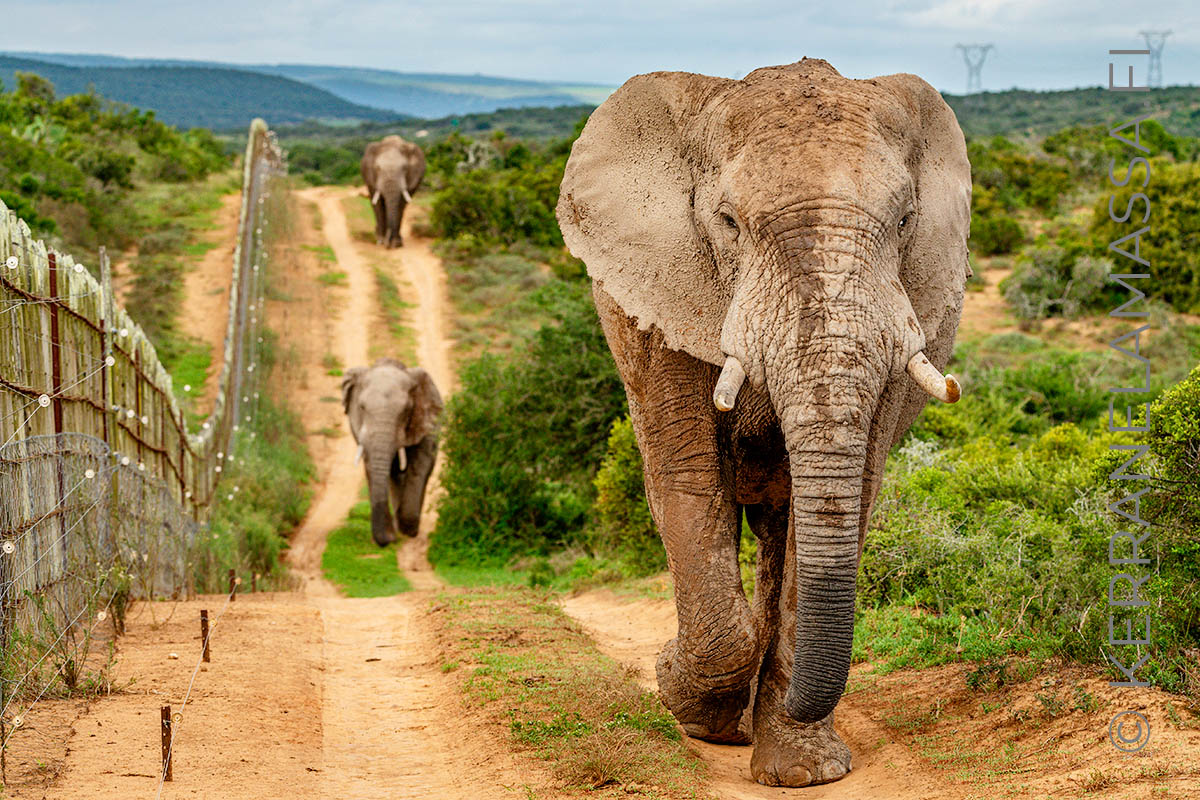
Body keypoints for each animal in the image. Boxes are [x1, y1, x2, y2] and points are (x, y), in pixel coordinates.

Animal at [342, 359, 443, 546]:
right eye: (361, 407)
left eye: (406, 410)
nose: (390, 539)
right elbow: (373, 468)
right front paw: (393, 533)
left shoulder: (426, 422)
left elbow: (420, 465)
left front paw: (408, 530)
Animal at [556, 59, 970, 787]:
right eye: (727, 222)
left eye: (905, 221)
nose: (660, 664)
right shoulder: (660, 305)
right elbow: (689, 480)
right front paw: (682, 699)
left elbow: (846, 494)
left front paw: (805, 773)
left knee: (781, 523)